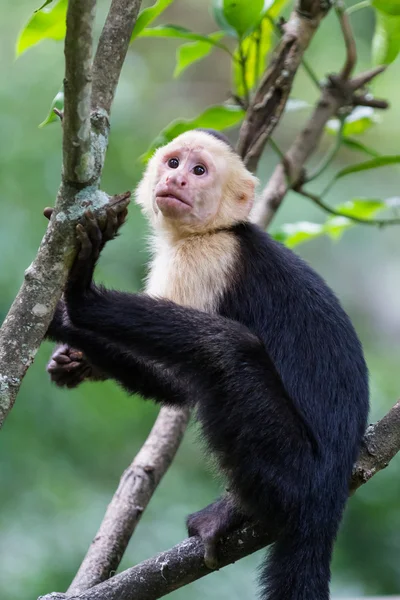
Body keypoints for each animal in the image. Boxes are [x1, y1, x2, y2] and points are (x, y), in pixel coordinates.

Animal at [47, 127, 368, 600]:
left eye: (199, 171)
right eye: (174, 163)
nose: (177, 180)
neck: (214, 229)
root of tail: (329, 497)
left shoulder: (207, 259)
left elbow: (186, 372)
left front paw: (76, 303)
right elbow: (174, 385)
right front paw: (77, 357)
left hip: (296, 470)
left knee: (227, 348)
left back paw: (238, 513)